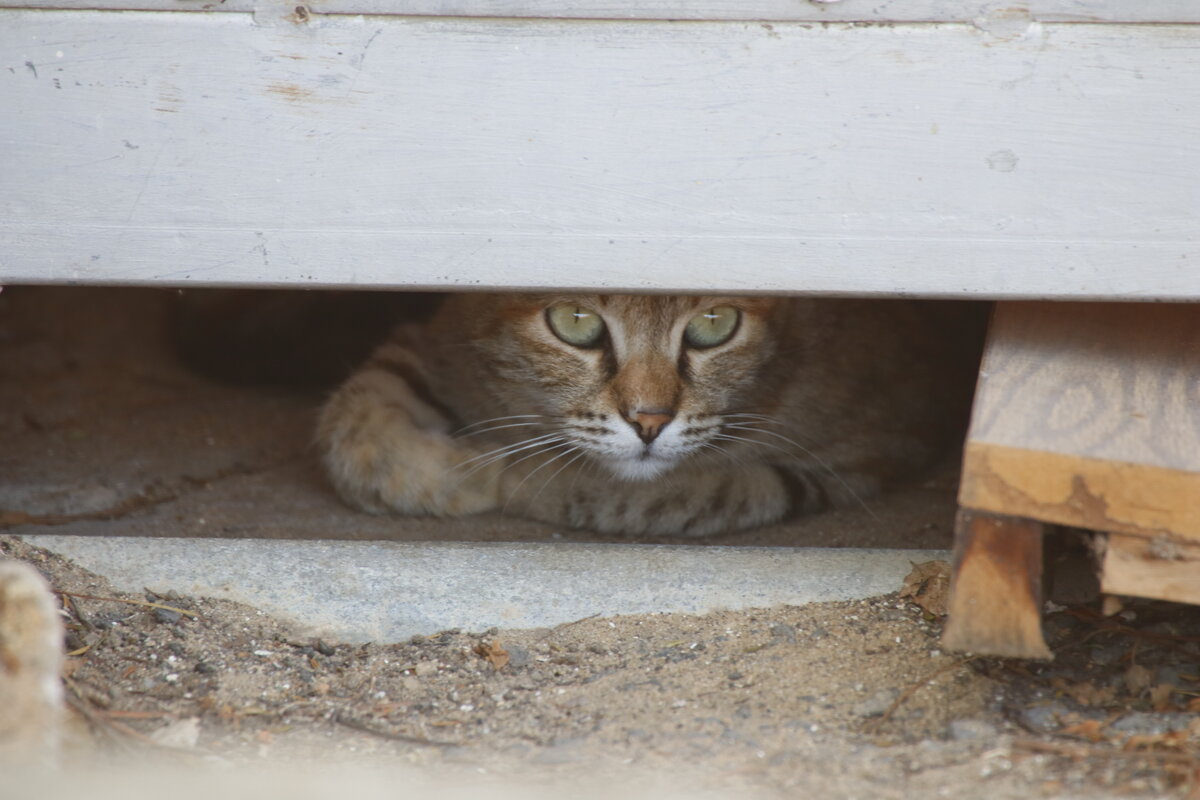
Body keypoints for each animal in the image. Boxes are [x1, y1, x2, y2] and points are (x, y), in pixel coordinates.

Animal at [316, 296, 984, 537]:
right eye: (575, 321)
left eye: (716, 323)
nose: (649, 421)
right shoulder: (437, 338)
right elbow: (354, 422)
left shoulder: (877, 447)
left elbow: (653, 494)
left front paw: (500, 471)